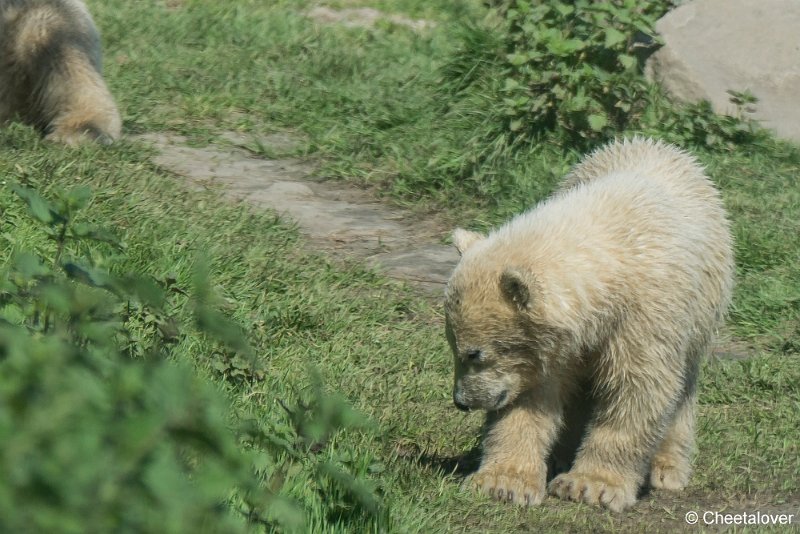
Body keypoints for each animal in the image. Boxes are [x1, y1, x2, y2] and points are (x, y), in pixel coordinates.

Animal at [446, 139, 736, 516]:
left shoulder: (648, 314)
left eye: (474, 354)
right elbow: (531, 395)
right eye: (453, 346)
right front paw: (503, 482)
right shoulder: (550, 347)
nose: (462, 402)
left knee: (681, 387)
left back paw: (667, 468)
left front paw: (590, 486)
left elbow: (637, 390)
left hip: (702, 312)